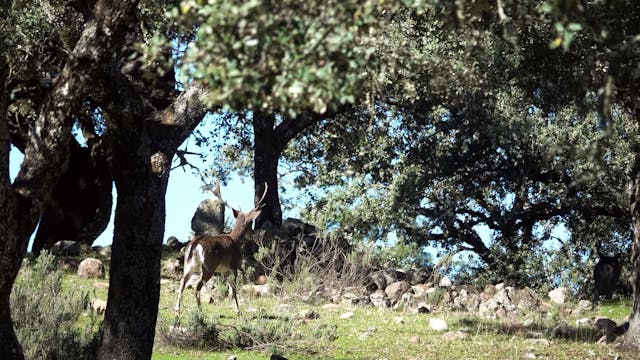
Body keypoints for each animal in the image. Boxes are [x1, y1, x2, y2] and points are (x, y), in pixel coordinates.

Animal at [174, 184, 266, 314]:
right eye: (251, 222)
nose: (251, 234)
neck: (235, 240)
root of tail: (195, 244)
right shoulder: (234, 265)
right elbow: (234, 289)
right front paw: (238, 311)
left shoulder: (224, 270)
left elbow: (230, 288)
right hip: (208, 265)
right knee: (197, 286)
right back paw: (199, 311)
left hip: (189, 263)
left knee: (182, 282)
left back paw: (177, 309)